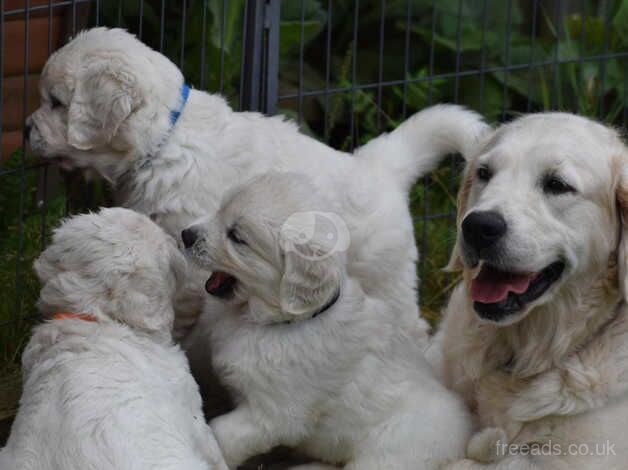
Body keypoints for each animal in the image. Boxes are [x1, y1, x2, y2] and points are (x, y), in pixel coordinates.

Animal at [25, 27, 490, 342]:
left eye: (57, 103)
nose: (27, 128)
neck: (164, 139)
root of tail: (380, 166)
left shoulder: (190, 258)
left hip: (386, 275)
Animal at [182, 173, 472, 470]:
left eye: (237, 237)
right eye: (219, 208)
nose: (185, 235)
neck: (281, 322)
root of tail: (464, 438)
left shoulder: (271, 415)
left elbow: (222, 436)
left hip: (387, 454)